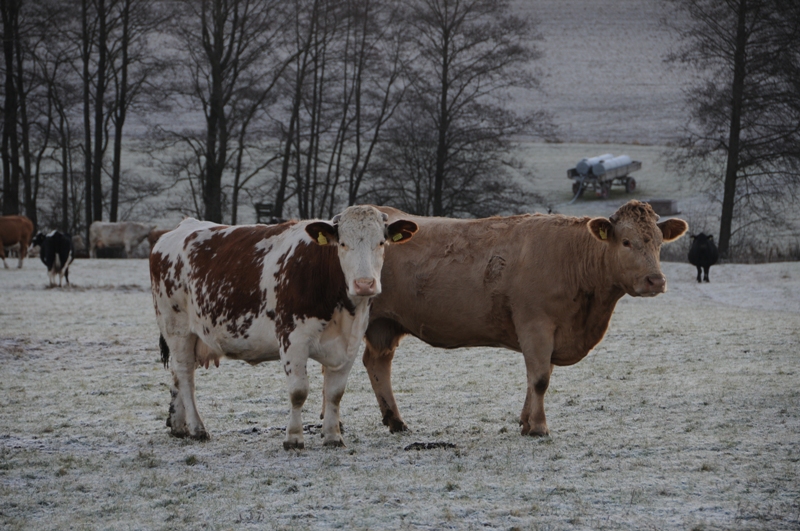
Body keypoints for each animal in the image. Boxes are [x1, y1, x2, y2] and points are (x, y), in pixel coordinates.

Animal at [148, 206, 418, 446]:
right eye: (342, 244)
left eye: (381, 243)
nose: (364, 284)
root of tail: (182, 227)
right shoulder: (293, 340)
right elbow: (298, 392)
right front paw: (294, 439)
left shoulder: (349, 343)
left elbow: (335, 393)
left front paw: (332, 437)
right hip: (177, 328)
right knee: (185, 376)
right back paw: (197, 428)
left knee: (177, 374)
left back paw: (179, 426)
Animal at [366, 200, 684, 436]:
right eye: (627, 242)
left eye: (659, 242)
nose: (656, 280)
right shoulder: (536, 325)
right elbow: (541, 379)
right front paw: (540, 427)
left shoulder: (552, 333)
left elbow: (535, 378)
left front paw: (526, 421)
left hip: (384, 324)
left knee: (377, 362)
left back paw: (396, 420)